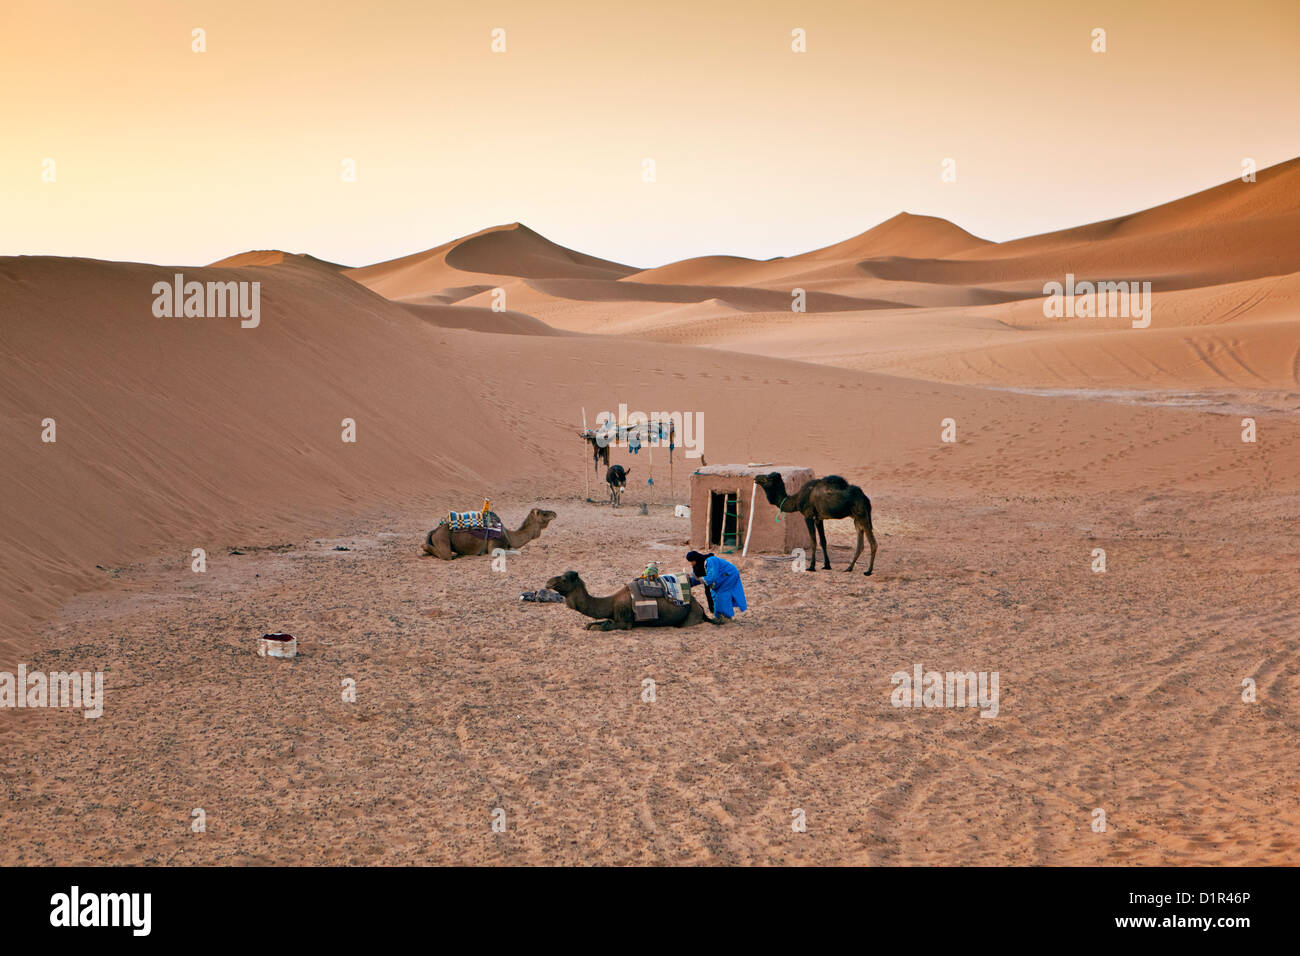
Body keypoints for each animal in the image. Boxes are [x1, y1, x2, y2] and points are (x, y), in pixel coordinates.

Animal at [421, 509, 553, 561]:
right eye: (544, 513)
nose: (554, 513)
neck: (509, 535)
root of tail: (435, 530)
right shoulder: (495, 545)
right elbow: (516, 552)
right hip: (442, 538)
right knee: (446, 555)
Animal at [543, 572, 717, 632]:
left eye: (564, 579)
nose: (547, 582)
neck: (611, 602)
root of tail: (699, 606)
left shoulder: (625, 622)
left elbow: (605, 627)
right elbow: (596, 623)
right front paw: (590, 625)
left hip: (690, 618)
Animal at [748, 473, 878, 574]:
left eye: (768, 477)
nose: (757, 477)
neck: (796, 499)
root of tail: (866, 498)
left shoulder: (808, 515)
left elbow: (813, 541)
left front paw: (811, 567)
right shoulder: (819, 519)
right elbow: (823, 541)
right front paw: (827, 565)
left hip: (862, 515)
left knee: (873, 543)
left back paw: (868, 571)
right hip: (857, 519)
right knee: (860, 544)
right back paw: (849, 568)